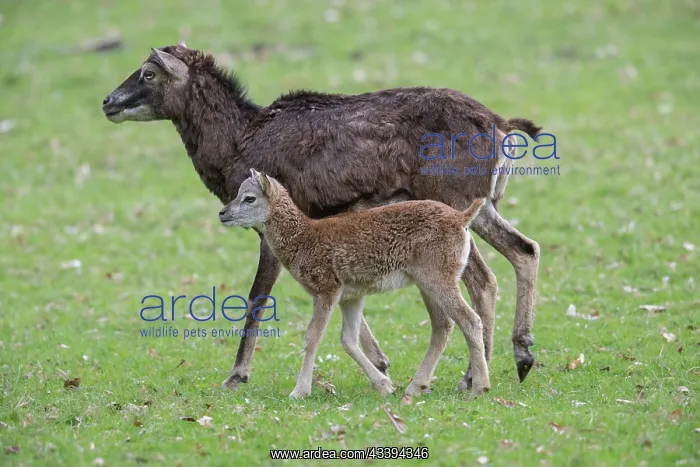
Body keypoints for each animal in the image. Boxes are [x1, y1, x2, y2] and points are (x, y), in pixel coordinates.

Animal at [218, 169, 490, 398]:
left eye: (249, 198)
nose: (222, 213)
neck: (303, 237)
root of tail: (461, 218)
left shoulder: (326, 290)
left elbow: (312, 337)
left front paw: (299, 391)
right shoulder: (352, 297)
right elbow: (348, 340)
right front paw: (384, 386)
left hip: (439, 279)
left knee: (470, 320)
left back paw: (479, 388)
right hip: (427, 285)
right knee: (443, 326)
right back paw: (415, 387)